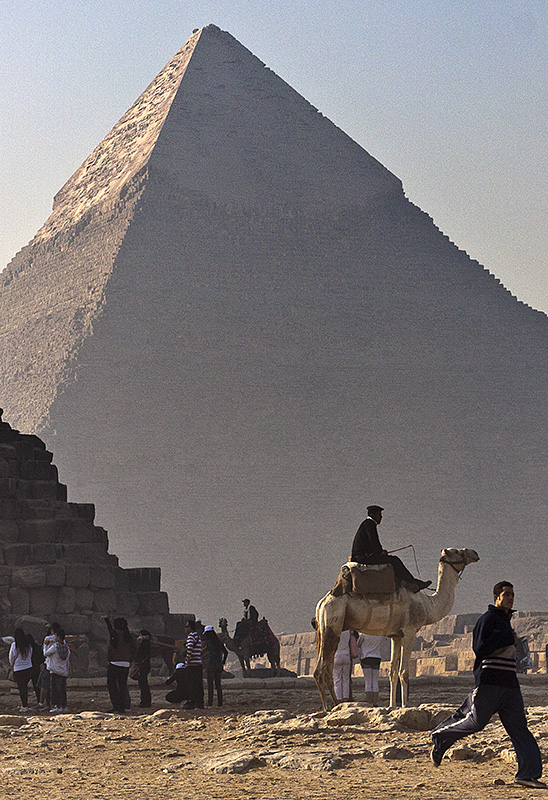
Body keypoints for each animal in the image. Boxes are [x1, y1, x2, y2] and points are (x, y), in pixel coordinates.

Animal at [314, 548, 478, 708]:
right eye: (457, 551)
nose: (475, 553)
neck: (428, 605)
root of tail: (322, 604)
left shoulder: (396, 635)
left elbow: (392, 672)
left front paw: (392, 705)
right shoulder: (409, 631)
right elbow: (404, 672)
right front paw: (405, 705)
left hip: (326, 628)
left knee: (324, 670)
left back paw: (334, 705)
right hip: (332, 624)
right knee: (321, 671)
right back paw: (330, 707)